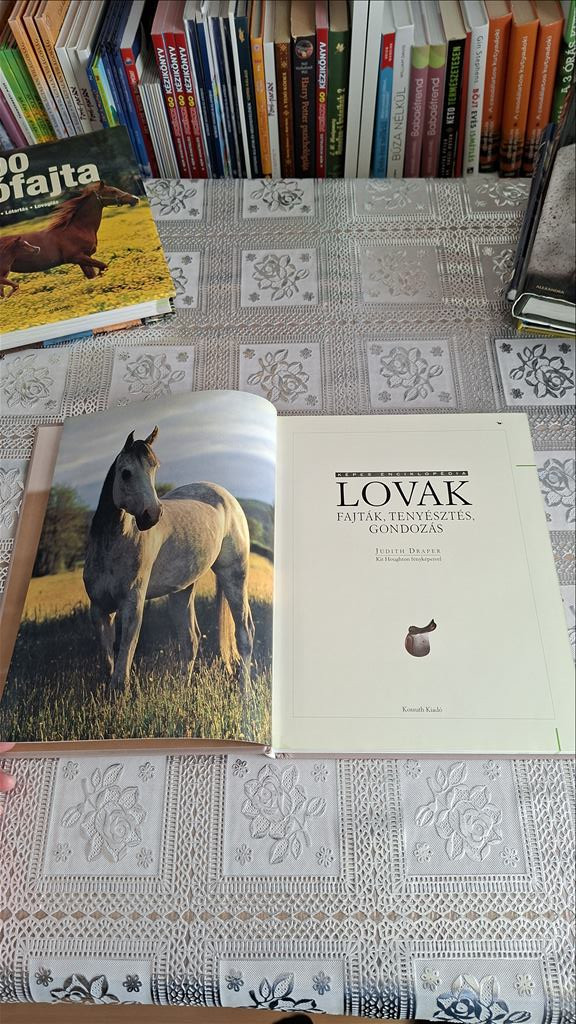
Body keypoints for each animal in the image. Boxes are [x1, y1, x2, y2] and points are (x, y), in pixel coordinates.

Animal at [3, 181, 138, 287]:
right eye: (112, 191)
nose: (135, 198)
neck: (78, 228)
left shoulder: (84, 258)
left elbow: (93, 275)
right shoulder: (76, 257)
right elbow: (103, 266)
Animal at [83, 426, 255, 694]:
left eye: (154, 468)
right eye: (126, 473)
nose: (152, 515)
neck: (111, 545)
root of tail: (226, 496)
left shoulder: (132, 605)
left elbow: (123, 664)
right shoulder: (99, 609)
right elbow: (109, 661)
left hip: (234, 574)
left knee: (245, 633)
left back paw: (245, 694)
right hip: (182, 590)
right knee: (191, 639)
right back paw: (185, 690)